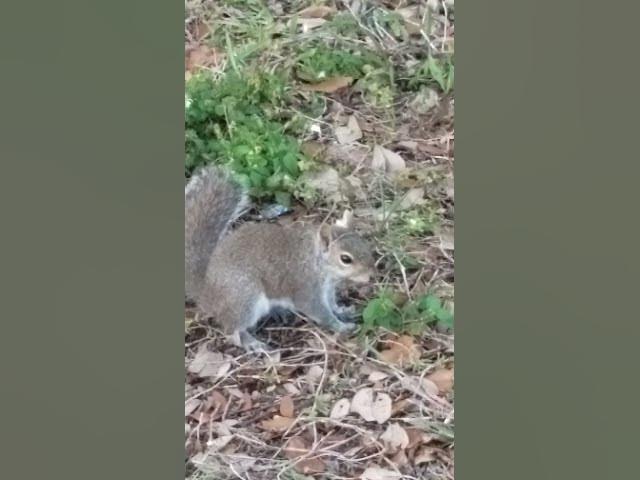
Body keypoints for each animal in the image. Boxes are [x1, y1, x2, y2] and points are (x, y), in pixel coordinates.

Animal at [185, 165, 376, 352]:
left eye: (364, 243)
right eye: (345, 259)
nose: (370, 275)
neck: (315, 261)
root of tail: (206, 292)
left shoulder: (327, 288)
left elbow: (331, 304)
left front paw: (343, 310)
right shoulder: (306, 288)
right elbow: (320, 312)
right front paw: (341, 326)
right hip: (244, 298)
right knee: (232, 330)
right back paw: (252, 343)